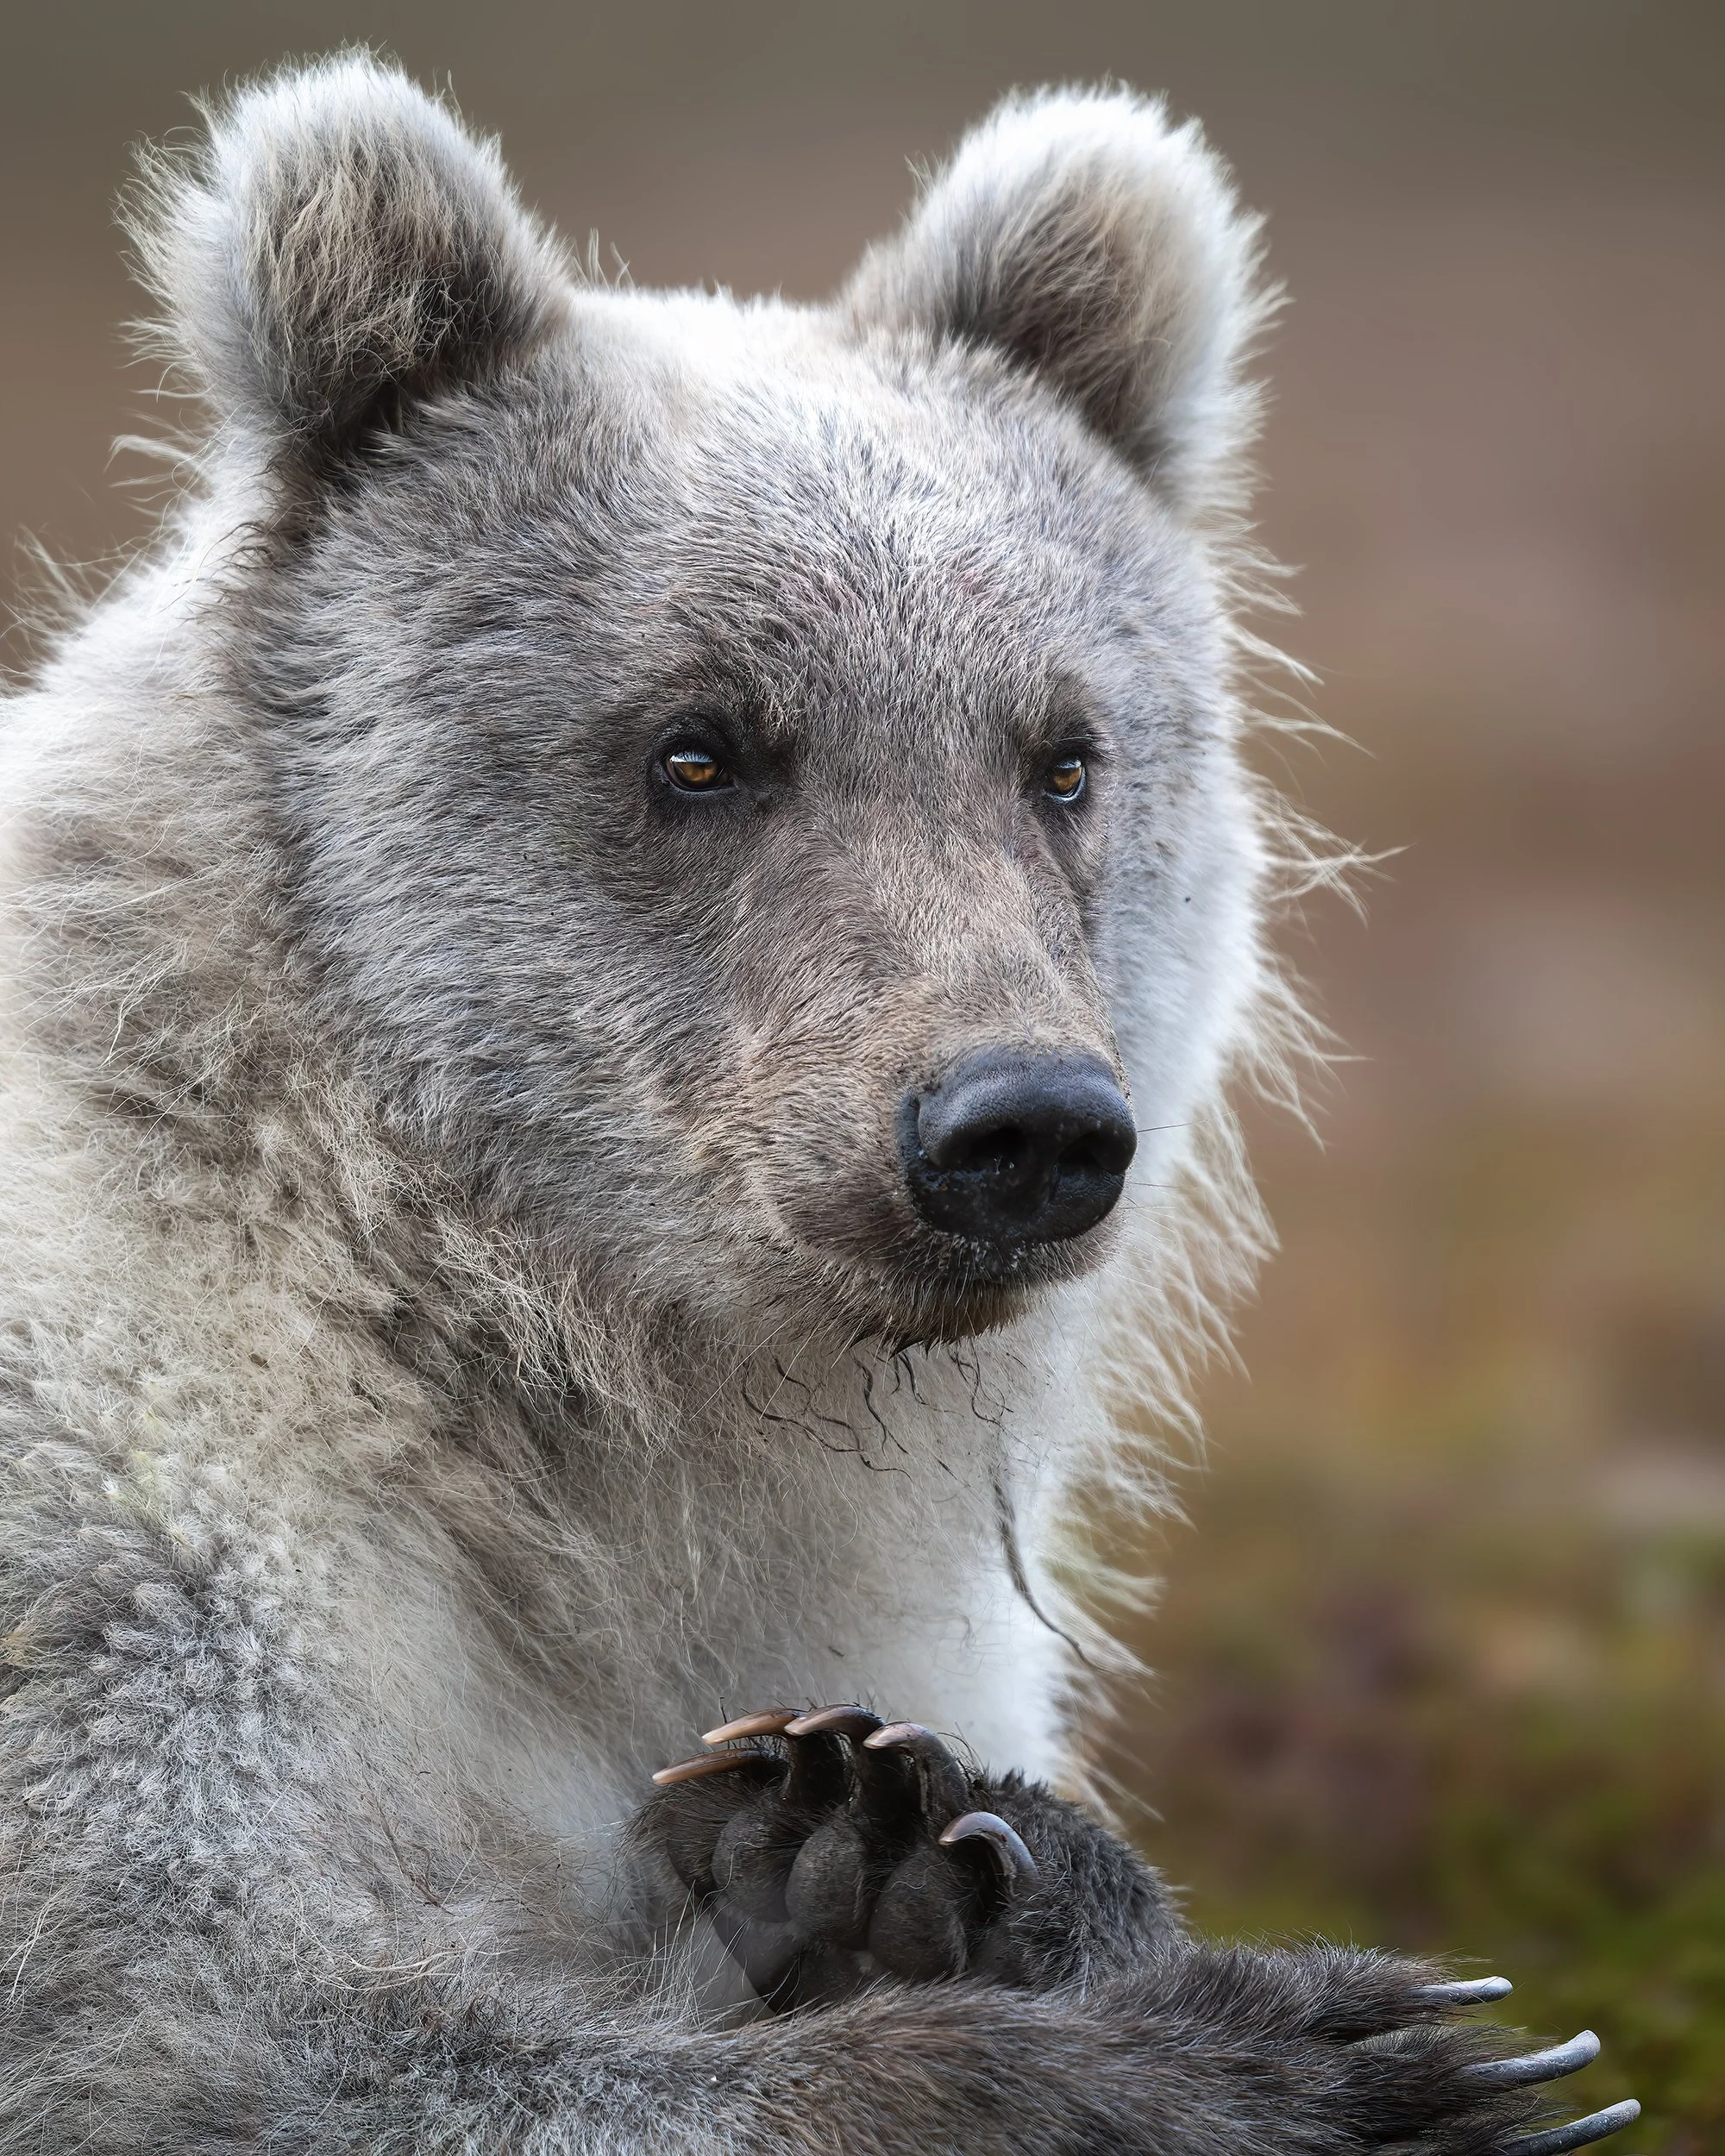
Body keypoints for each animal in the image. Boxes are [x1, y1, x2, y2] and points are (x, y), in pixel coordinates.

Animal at [0, 53, 1635, 2156]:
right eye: (699, 746)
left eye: (1061, 753)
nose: (1021, 1125)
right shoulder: (133, 1573)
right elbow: (238, 2027)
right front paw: (1359, 2056)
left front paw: (909, 1848)